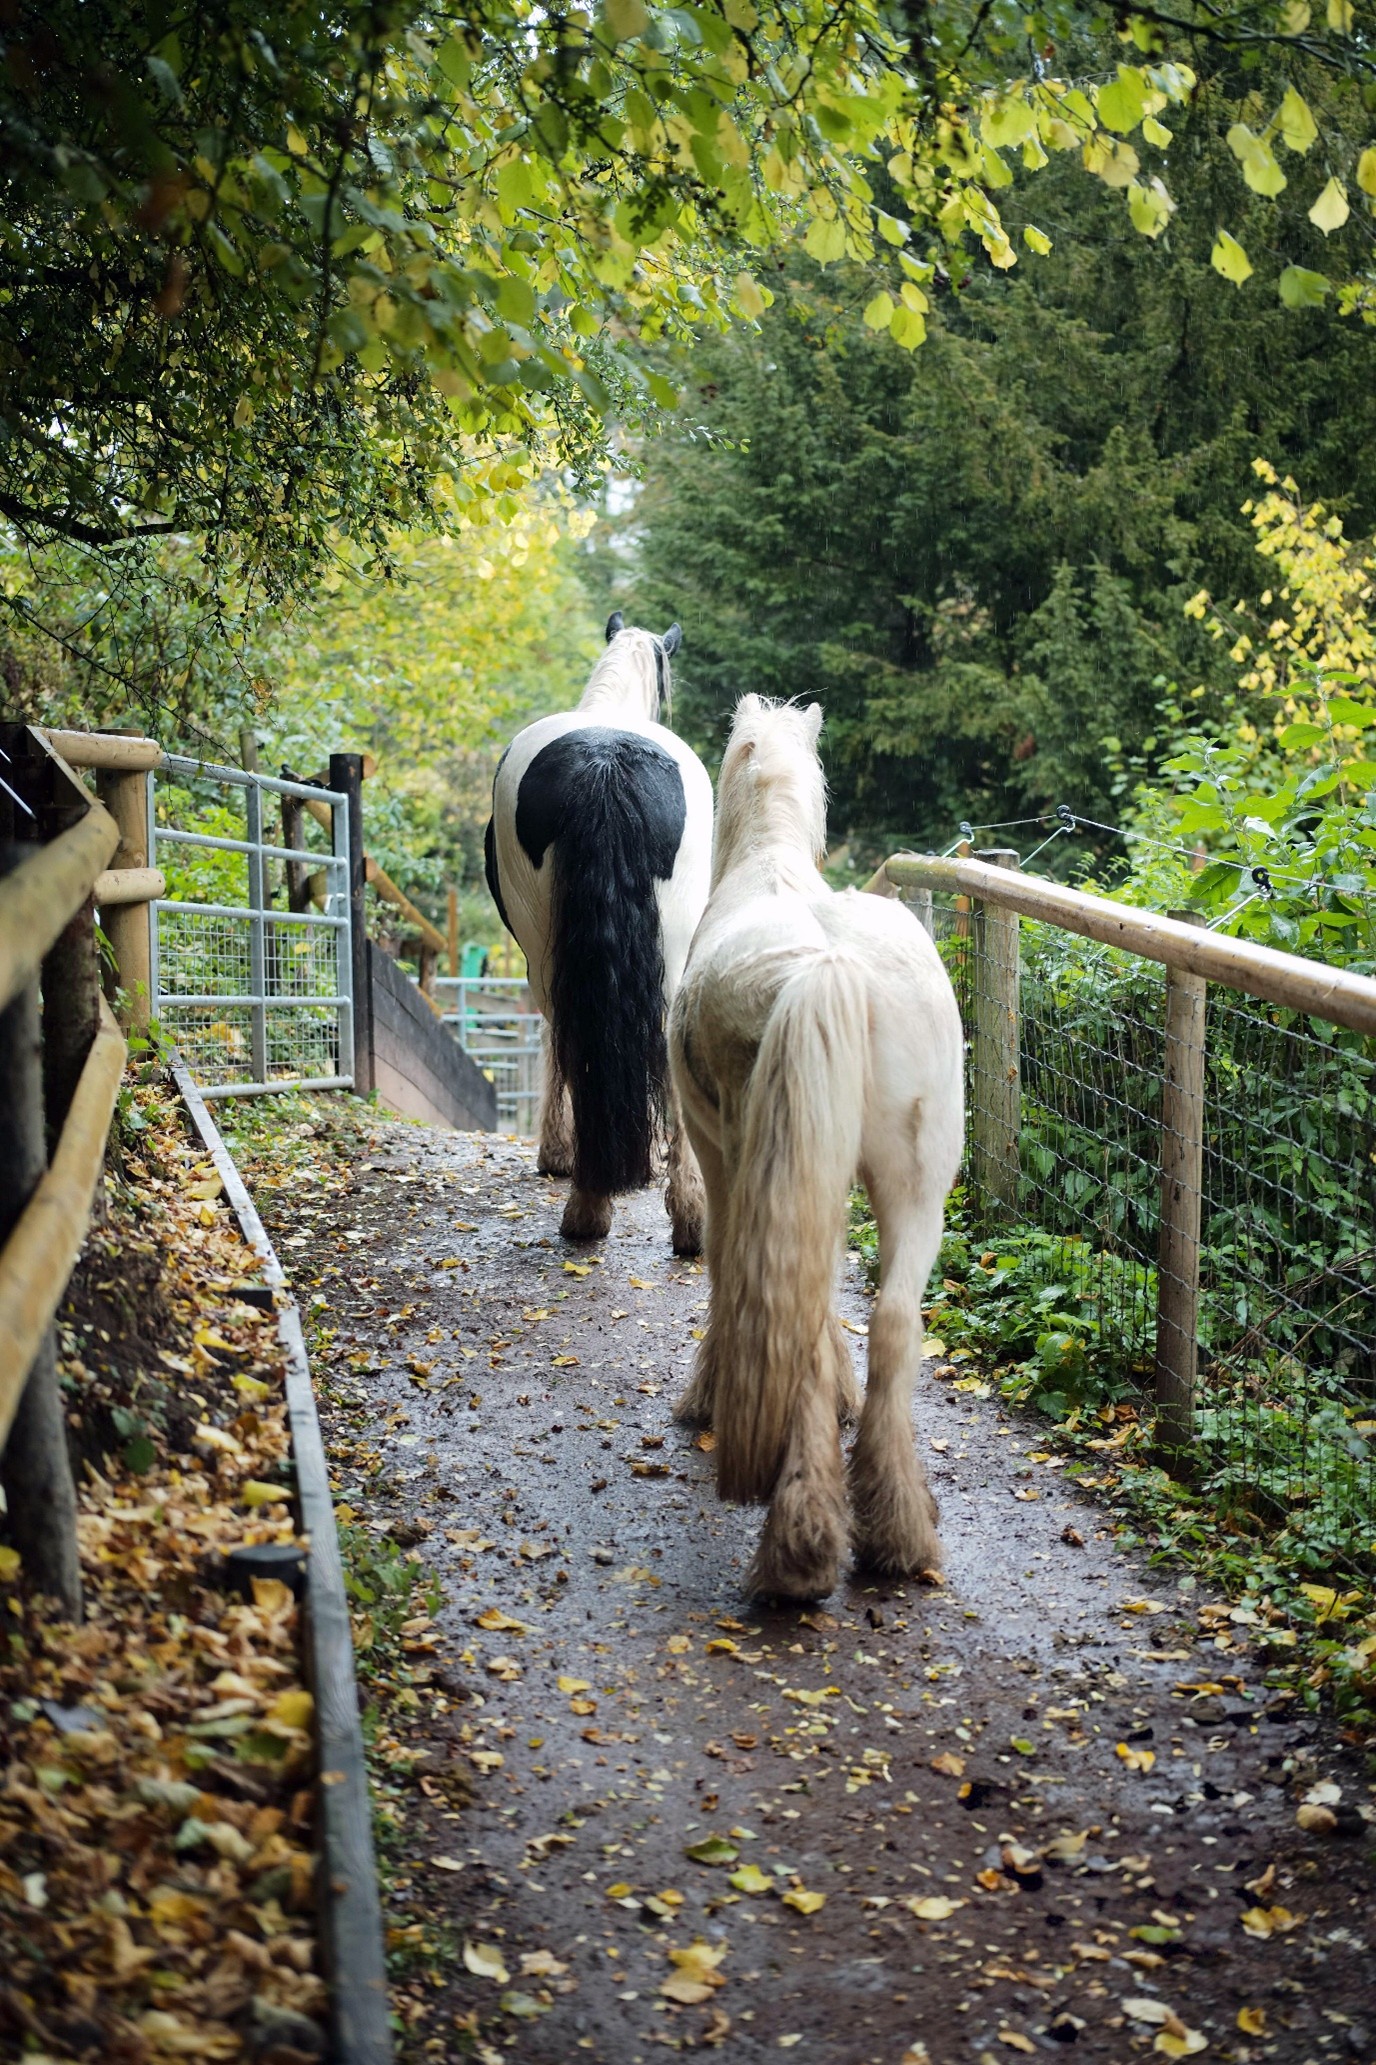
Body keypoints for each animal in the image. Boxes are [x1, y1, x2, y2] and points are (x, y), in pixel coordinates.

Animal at [484, 613, 714, 1252]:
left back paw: (591, 1206)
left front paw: (556, 1154)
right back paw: (686, 1217)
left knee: (571, 1030)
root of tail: (606, 762)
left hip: (548, 948)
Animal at [668, 696, 964, 1600]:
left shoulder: (722, 1155)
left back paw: (797, 1550)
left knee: (783, 1311)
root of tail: (830, 965)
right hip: (916, 1181)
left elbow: (729, 1269)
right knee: (896, 1321)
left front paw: (708, 1394)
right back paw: (897, 1532)